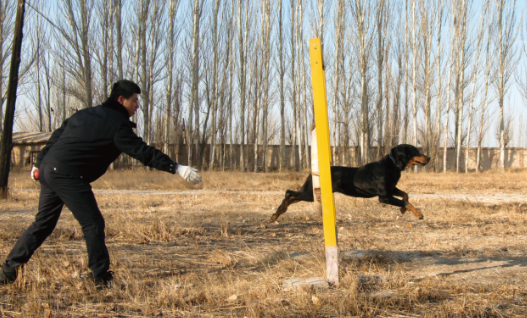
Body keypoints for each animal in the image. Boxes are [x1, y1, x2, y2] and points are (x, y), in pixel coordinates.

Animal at [270, 144, 432, 221]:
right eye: (416, 151)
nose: (429, 157)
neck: (392, 165)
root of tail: (314, 172)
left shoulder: (391, 189)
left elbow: (405, 195)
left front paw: (403, 210)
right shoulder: (384, 196)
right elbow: (406, 201)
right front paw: (418, 213)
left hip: (312, 194)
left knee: (292, 196)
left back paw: (278, 213)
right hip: (310, 192)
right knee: (289, 193)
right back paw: (277, 213)